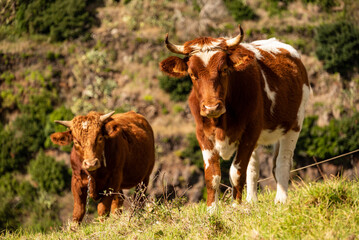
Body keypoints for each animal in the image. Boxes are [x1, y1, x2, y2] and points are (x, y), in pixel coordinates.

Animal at [160, 26, 310, 213]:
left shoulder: (249, 133)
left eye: (224, 69)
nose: (211, 107)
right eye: (192, 74)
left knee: (282, 162)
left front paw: (236, 206)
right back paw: (251, 201)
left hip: (294, 124)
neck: (221, 122)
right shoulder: (202, 135)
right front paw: (211, 211)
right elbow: (212, 176)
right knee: (254, 168)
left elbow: (236, 172)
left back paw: (281, 200)